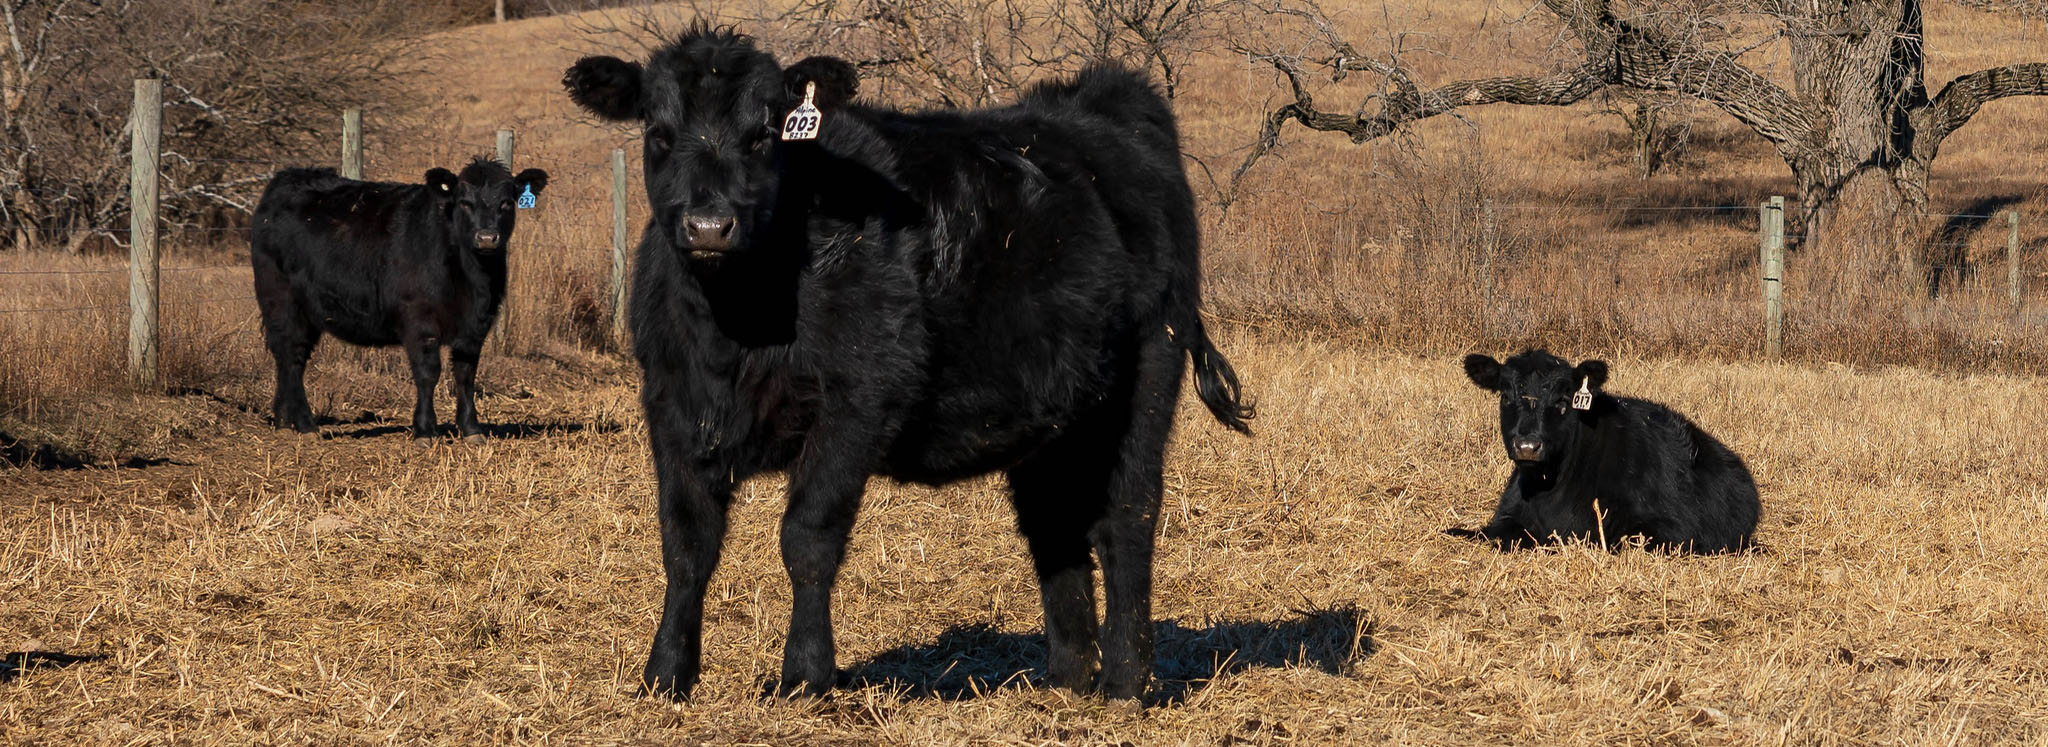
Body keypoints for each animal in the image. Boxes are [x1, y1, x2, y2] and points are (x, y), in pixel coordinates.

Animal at [250, 159, 548, 439]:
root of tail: (286, 180)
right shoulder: (420, 319)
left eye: (506, 203)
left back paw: (284, 422)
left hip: (307, 312)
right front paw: (425, 430)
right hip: (282, 302)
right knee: (291, 356)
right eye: (465, 202)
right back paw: (305, 425)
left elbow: (465, 374)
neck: (472, 280)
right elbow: (428, 373)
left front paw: (471, 429)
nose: (486, 238)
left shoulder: (476, 325)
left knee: (290, 358)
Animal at [561, 25, 1253, 701]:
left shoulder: (858, 401)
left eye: (764, 134)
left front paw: (805, 676)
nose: (708, 226)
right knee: (1053, 523)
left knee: (1126, 519)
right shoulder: (672, 406)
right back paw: (1067, 679)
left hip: (1146, 377)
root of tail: (1101, 100)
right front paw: (665, 675)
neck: (734, 329)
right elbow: (686, 544)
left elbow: (808, 537)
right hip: (1054, 410)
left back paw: (1126, 680)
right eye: (658, 132)